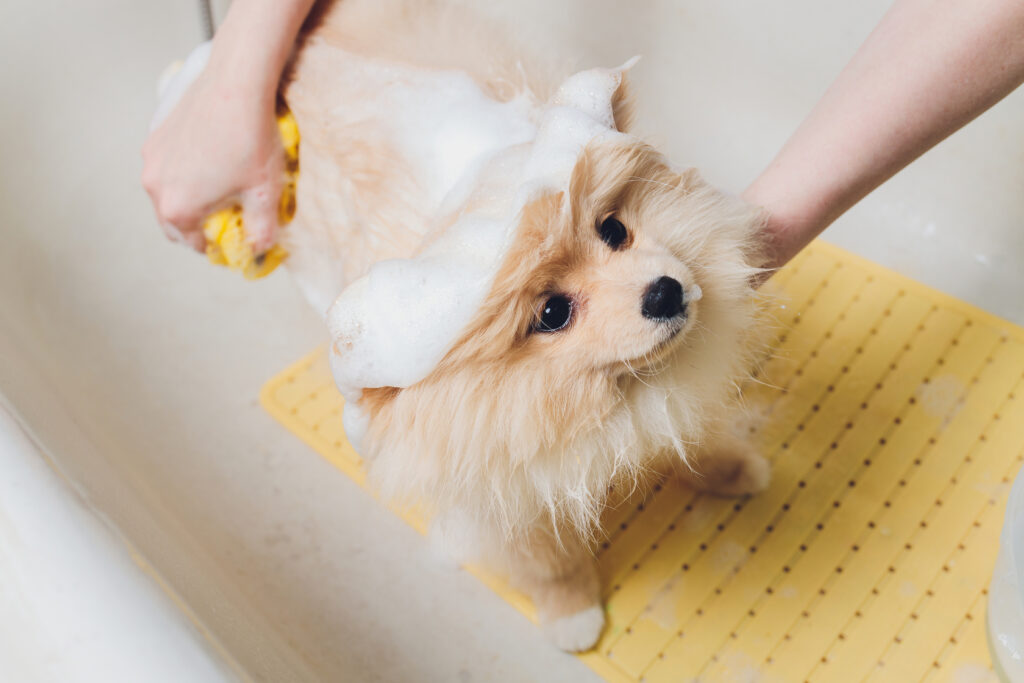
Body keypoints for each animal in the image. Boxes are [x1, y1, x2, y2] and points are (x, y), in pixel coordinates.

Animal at [278, 0, 770, 651]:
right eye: (553, 314)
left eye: (614, 230)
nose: (664, 291)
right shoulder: (505, 487)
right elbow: (548, 563)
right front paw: (572, 613)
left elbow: (698, 434)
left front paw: (733, 468)